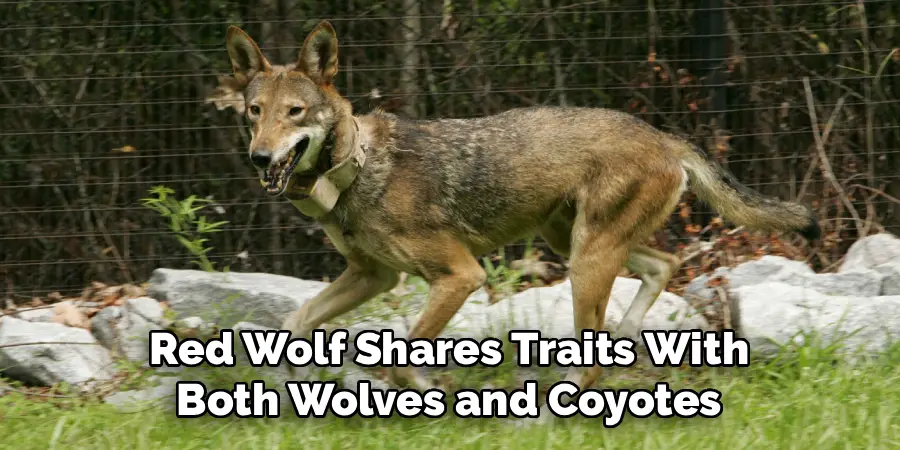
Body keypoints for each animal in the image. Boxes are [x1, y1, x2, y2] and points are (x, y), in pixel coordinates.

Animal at [208, 21, 819, 409]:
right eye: (255, 112)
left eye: (295, 113)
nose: (259, 157)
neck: (357, 169)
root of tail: (665, 138)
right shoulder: (372, 276)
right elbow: (293, 325)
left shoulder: (460, 276)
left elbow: (401, 361)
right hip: (574, 244)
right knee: (661, 269)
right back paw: (621, 342)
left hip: (584, 262)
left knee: (594, 357)